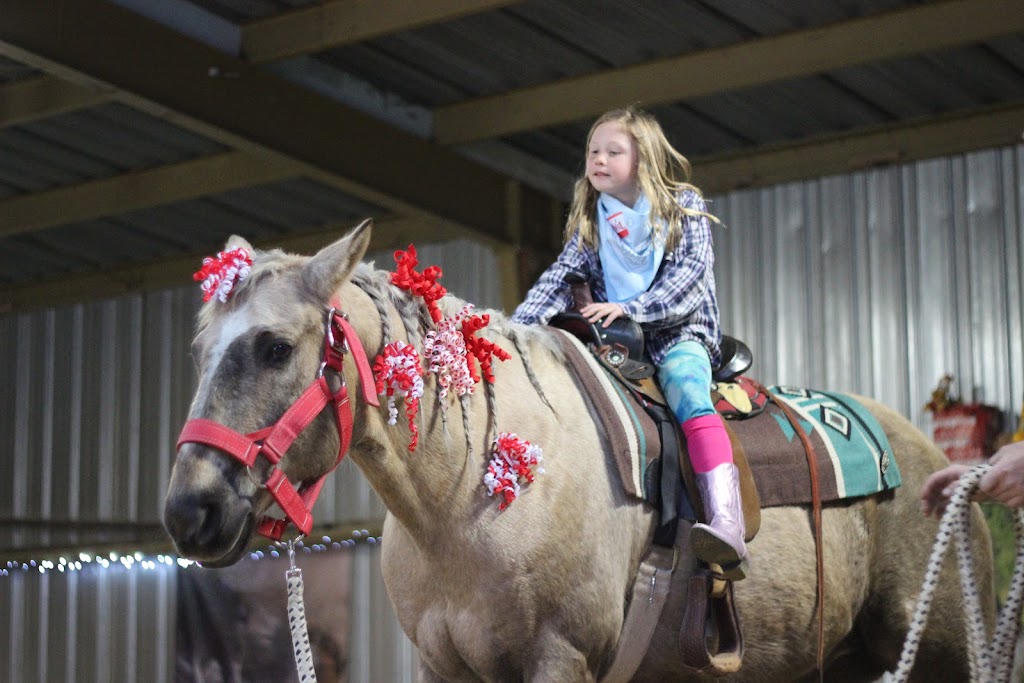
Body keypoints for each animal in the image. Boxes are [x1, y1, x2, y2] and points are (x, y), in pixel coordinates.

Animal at [165, 222, 991, 679]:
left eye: (275, 347)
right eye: (198, 351)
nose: (188, 511)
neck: (467, 493)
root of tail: (933, 462)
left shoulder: (560, 657)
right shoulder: (441, 666)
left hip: (944, 650)